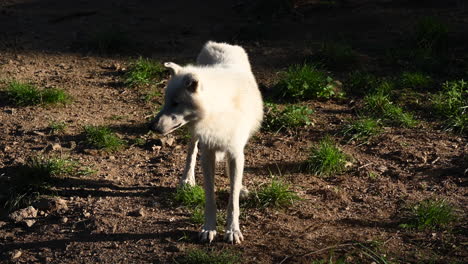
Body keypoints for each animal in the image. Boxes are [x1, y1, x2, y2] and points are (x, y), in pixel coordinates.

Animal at [152, 40, 266, 243]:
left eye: (176, 103)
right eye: (166, 102)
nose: (152, 126)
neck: (217, 107)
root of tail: (219, 44)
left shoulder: (235, 152)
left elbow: (233, 201)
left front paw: (232, 231)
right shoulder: (207, 153)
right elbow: (210, 198)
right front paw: (208, 229)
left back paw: (241, 187)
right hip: (195, 135)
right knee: (191, 150)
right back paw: (187, 180)